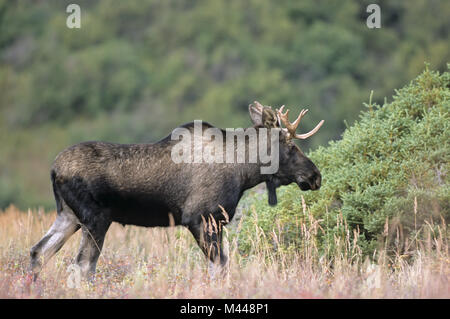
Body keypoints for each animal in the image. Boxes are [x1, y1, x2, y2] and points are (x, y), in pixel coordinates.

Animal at [29, 102, 324, 280]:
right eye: (291, 147)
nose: (316, 176)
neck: (244, 172)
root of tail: (54, 170)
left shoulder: (216, 221)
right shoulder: (200, 218)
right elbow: (219, 267)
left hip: (69, 216)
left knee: (38, 252)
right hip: (95, 218)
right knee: (82, 267)